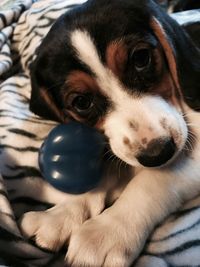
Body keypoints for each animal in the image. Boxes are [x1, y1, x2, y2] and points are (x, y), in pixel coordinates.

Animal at [19, 1, 200, 266]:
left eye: (141, 58)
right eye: (82, 102)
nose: (158, 153)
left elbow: (153, 180)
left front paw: (105, 233)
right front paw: (59, 216)